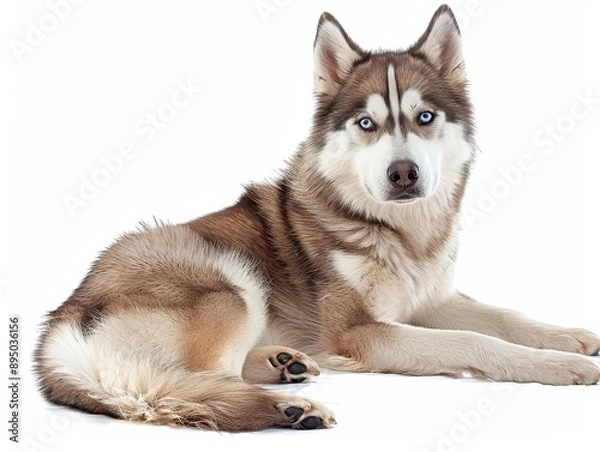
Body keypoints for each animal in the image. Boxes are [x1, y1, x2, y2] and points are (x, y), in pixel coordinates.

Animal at [34, 5, 600, 432]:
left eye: (424, 117)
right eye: (367, 123)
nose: (403, 174)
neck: (398, 232)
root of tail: (59, 318)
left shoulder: (430, 300)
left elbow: (506, 317)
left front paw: (570, 337)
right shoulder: (361, 331)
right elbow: (474, 341)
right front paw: (560, 365)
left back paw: (284, 365)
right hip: (231, 284)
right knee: (192, 383)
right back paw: (287, 404)